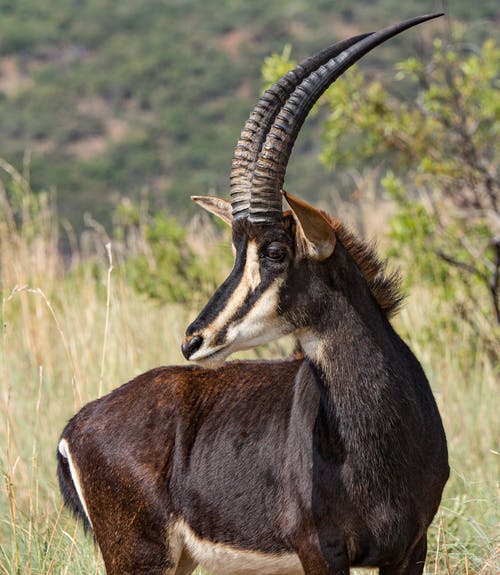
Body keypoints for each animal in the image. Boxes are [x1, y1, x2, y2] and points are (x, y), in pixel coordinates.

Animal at [57, 14, 450, 575]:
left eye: (275, 251)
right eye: (237, 250)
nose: (194, 340)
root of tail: (77, 425)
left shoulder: (411, 549)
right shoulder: (320, 550)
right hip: (139, 556)